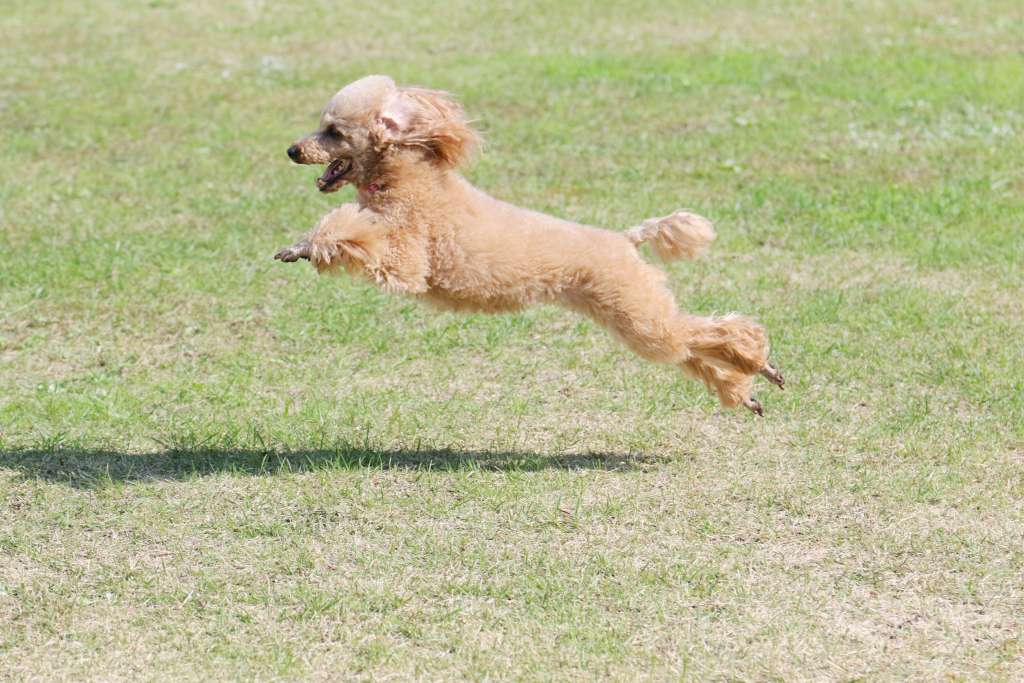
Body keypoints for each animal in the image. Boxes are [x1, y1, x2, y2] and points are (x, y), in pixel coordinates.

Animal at [274, 76, 782, 413]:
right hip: (628, 312)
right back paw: (745, 390)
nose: (292, 151)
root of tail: (625, 239)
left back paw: (757, 360)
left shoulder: (409, 257)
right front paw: (299, 248)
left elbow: (353, 234)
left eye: (333, 131)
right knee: (690, 348)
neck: (407, 180)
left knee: (710, 336)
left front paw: (311, 246)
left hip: (634, 310)